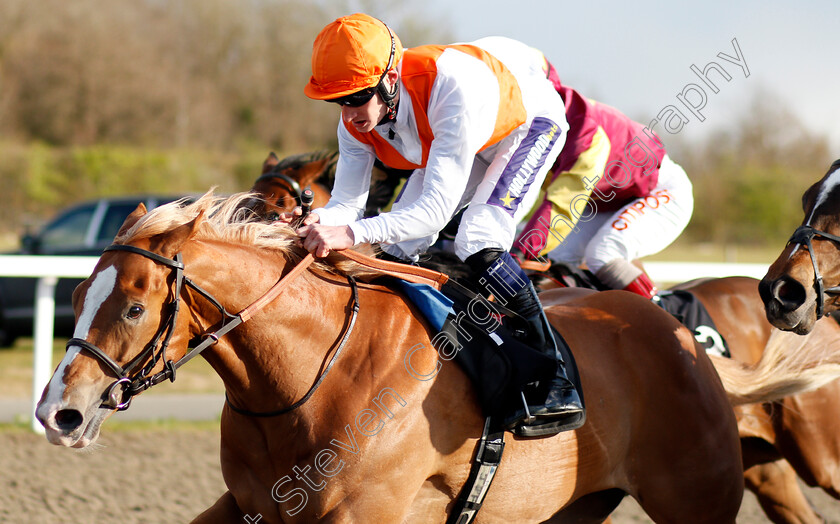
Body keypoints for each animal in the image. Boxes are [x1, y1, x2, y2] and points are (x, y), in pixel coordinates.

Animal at [37, 193, 840, 524]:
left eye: (133, 306)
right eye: (74, 293)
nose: (57, 412)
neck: (303, 381)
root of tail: (687, 346)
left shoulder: (363, 516)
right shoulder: (251, 505)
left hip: (704, 494)